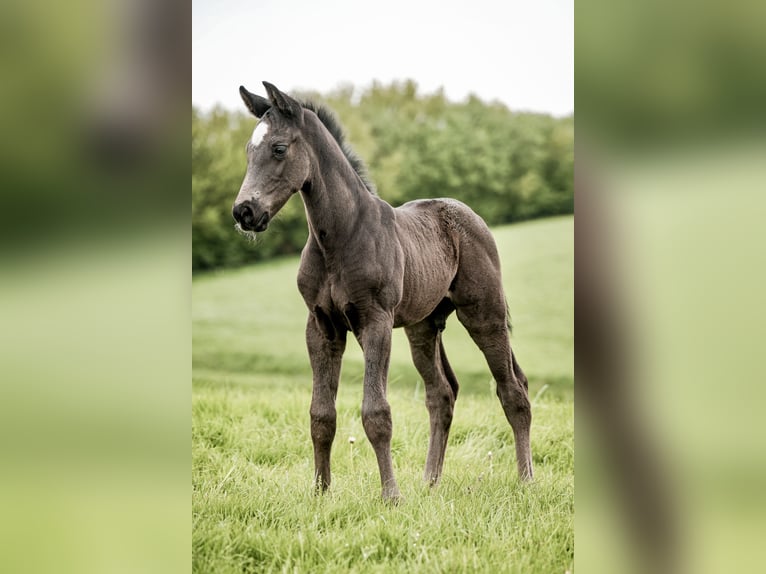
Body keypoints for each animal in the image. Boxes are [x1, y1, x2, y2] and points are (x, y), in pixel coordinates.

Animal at [234, 82, 536, 504]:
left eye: (279, 148)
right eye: (249, 149)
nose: (244, 212)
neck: (339, 238)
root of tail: (470, 216)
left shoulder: (374, 322)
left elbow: (376, 412)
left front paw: (391, 496)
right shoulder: (321, 327)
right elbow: (321, 414)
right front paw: (321, 492)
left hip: (484, 315)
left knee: (513, 391)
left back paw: (525, 481)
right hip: (422, 327)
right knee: (442, 394)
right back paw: (430, 482)